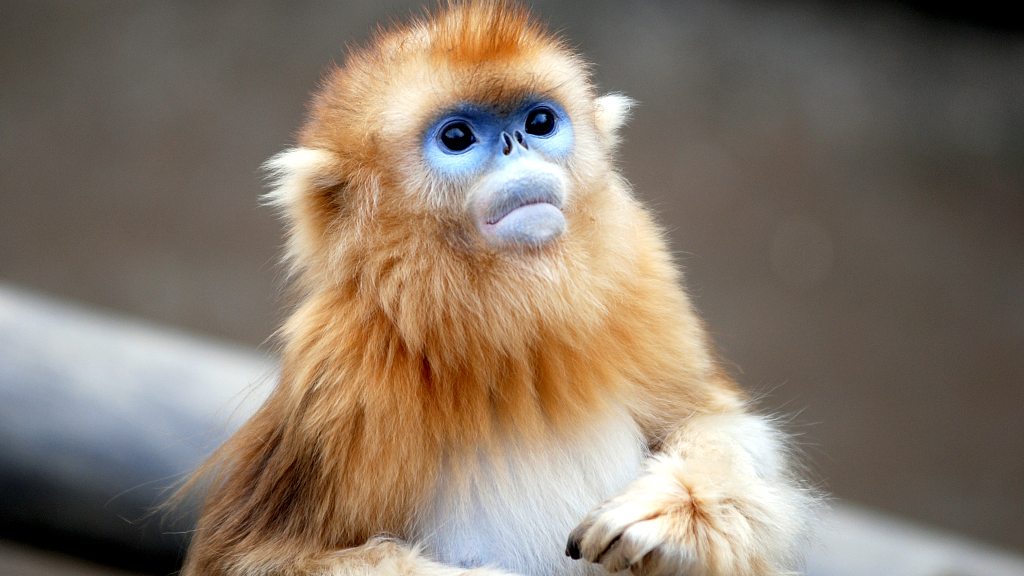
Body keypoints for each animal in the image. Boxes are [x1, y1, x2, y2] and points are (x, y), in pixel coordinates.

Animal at [180, 3, 816, 576]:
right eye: (459, 136)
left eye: (539, 123)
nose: (517, 146)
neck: (512, 335)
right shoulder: (336, 374)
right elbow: (256, 559)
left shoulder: (646, 283)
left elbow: (715, 419)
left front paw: (670, 518)